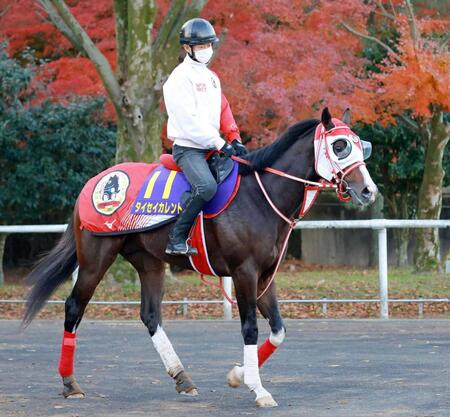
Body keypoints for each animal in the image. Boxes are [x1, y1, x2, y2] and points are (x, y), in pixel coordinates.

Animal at [23, 107, 376, 406]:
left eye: (362, 147)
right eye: (341, 146)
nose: (368, 191)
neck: (260, 196)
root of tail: (95, 182)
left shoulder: (265, 275)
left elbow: (278, 330)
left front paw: (238, 375)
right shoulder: (244, 272)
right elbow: (251, 328)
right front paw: (258, 388)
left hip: (149, 262)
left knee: (150, 315)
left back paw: (182, 377)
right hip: (96, 259)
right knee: (74, 307)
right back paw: (70, 383)